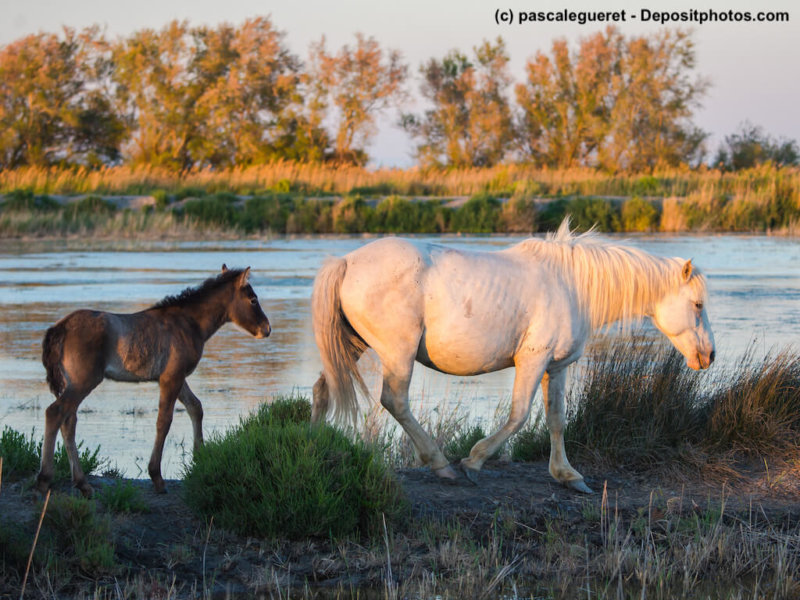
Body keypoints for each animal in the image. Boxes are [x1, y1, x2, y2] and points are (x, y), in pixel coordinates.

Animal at [37, 265, 271, 496]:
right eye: (253, 299)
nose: (266, 329)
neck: (190, 324)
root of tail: (59, 328)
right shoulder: (171, 378)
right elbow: (164, 421)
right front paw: (157, 477)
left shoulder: (175, 377)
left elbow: (195, 407)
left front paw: (199, 457)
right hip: (83, 382)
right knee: (55, 413)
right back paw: (45, 478)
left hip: (73, 383)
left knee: (68, 421)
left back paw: (82, 483)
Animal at [310, 220, 715, 493]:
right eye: (698, 304)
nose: (709, 355)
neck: (571, 284)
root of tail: (346, 262)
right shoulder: (533, 361)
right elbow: (519, 416)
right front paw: (473, 461)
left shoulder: (556, 367)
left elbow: (556, 420)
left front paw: (568, 476)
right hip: (399, 353)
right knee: (395, 401)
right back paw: (442, 465)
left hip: (353, 345)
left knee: (322, 390)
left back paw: (314, 446)